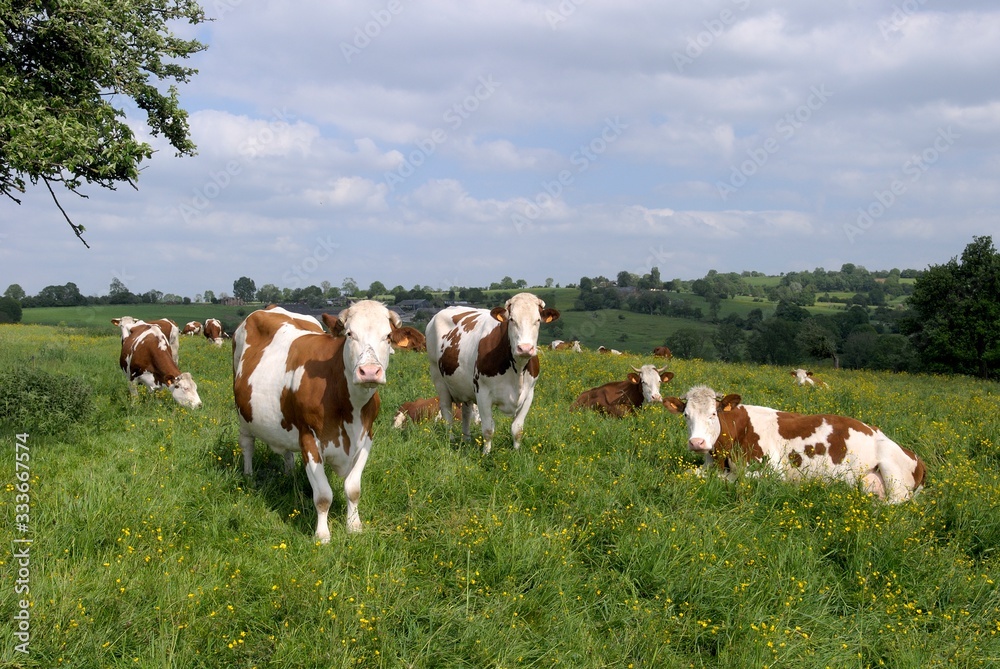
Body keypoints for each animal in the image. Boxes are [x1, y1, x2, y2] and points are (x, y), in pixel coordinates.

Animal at [234, 300, 402, 540]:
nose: (369, 371)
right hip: (243, 415)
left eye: (387, 336)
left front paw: (354, 526)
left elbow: (353, 488)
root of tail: (271, 308)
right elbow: (323, 495)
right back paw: (248, 476)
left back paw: (290, 474)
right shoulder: (309, 439)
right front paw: (322, 535)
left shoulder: (366, 438)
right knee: (247, 444)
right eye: (349, 334)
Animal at [424, 290, 560, 454]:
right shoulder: (482, 393)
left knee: (466, 413)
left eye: (538, 320)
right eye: (512, 319)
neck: (517, 372)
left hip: (465, 387)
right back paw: (451, 440)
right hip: (438, 378)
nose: (525, 348)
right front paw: (486, 454)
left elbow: (517, 429)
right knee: (447, 412)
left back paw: (466, 439)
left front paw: (516, 452)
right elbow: (488, 429)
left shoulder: (529, 394)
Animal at [664, 384, 928, 504]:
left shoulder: (772, 472)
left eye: (713, 414)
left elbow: (737, 479)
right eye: (686, 415)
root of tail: (915, 455)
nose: (697, 442)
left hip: (893, 471)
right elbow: (687, 473)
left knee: (894, 504)